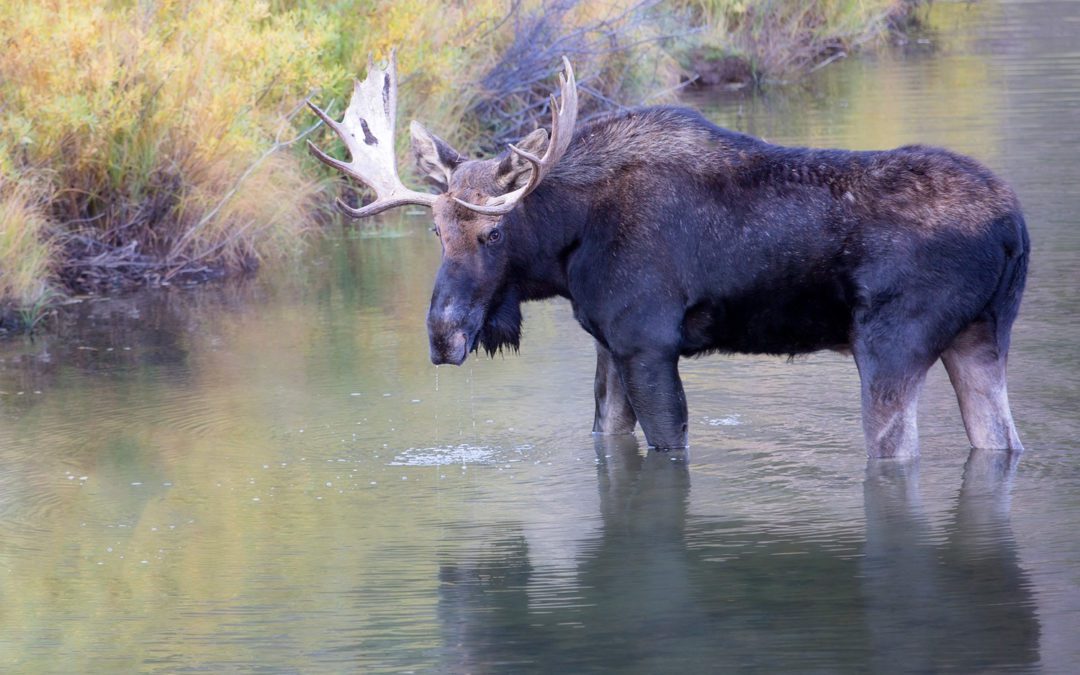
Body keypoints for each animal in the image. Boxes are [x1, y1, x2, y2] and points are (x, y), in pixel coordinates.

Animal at [306, 54, 1028, 457]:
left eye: (492, 233)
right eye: (435, 232)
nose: (442, 333)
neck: (568, 247)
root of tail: (1015, 226)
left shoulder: (647, 341)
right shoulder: (610, 344)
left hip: (891, 343)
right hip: (980, 336)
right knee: (1001, 441)